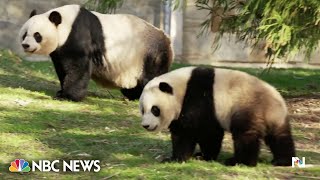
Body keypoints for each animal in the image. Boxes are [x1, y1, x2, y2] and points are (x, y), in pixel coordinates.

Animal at [18, 4, 174, 101]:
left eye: (37, 35)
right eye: (25, 34)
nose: (26, 45)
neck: (66, 23)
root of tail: (167, 39)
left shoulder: (78, 34)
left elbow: (77, 67)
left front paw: (69, 96)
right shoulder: (59, 49)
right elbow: (62, 68)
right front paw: (61, 91)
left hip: (150, 54)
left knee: (153, 76)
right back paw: (133, 96)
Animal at [139, 66, 296, 166]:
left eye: (155, 109)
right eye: (142, 110)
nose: (146, 125)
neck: (181, 87)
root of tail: (274, 104)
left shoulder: (199, 98)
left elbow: (203, 131)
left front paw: (202, 156)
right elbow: (181, 132)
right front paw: (181, 157)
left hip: (247, 107)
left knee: (245, 135)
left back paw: (240, 162)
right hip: (276, 117)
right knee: (279, 137)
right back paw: (283, 160)